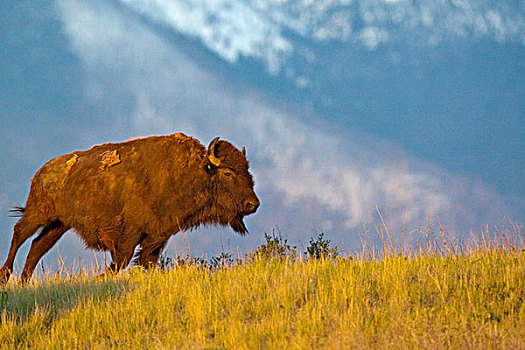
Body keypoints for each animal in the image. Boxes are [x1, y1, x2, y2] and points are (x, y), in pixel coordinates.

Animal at [0, 133, 258, 284]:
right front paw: (98, 279)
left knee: (38, 246)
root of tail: (42, 172)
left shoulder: (156, 236)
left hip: (59, 224)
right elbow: (121, 262)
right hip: (40, 213)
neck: (196, 172)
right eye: (228, 173)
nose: (252, 204)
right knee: (20, 233)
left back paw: (23, 282)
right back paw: (5, 276)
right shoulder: (128, 234)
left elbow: (145, 262)